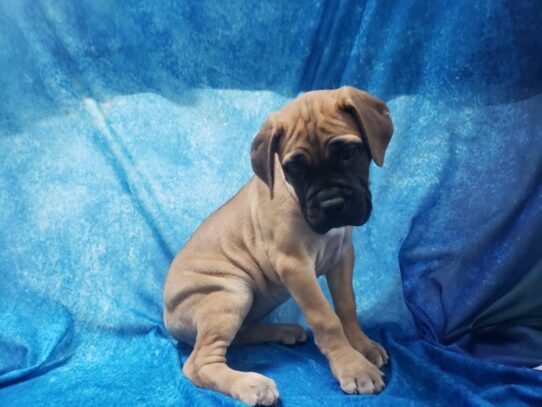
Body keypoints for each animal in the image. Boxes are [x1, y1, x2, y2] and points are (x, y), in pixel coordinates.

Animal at [163, 86, 396, 404]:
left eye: (349, 153)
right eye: (295, 169)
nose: (331, 204)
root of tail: (166, 316)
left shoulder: (342, 256)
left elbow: (346, 305)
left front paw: (362, 346)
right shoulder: (295, 267)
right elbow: (326, 319)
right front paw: (353, 367)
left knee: (239, 335)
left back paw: (283, 331)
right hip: (230, 293)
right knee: (200, 363)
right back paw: (250, 384)